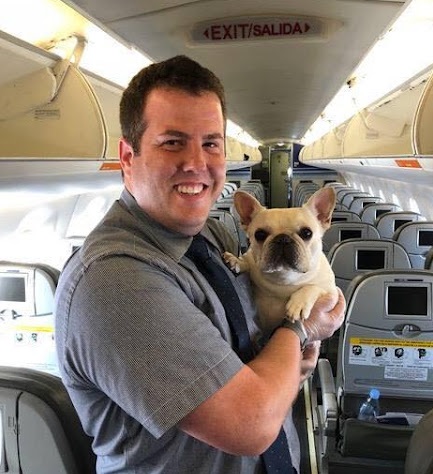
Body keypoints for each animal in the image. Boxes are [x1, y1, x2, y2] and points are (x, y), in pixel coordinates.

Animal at [223, 186, 337, 334]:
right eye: (259, 234)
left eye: (307, 233)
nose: (282, 238)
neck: (285, 278)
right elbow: (247, 261)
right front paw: (236, 261)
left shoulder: (331, 293)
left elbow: (313, 287)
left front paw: (299, 303)